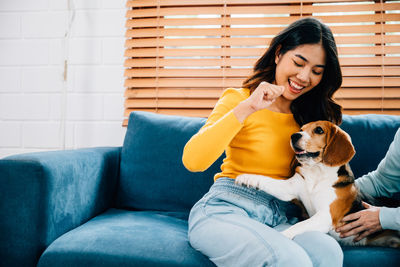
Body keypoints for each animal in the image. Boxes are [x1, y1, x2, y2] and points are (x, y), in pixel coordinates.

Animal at [236, 120, 398, 248]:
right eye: (301, 129)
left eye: (319, 130)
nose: (294, 136)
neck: (317, 174)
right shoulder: (289, 188)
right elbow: (266, 180)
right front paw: (247, 178)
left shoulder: (325, 216)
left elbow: (299, 225)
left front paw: (282, 236)